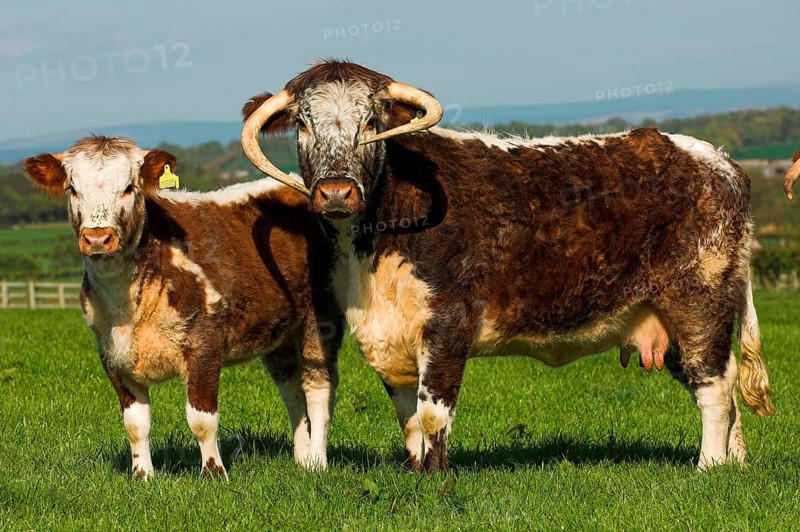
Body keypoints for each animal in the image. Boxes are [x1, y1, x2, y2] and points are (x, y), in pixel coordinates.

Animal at [24, 136, 342, 479]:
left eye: (129, 188)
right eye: (72, 188)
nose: (98, 238)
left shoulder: (204, 343)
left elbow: (201, 419)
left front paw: (214, 473)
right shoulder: (111, 353)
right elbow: (135, 424)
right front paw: (143, 476)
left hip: (321, 317)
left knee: (318, 387)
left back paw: (318, 462)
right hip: (277, 333)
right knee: (292, 390)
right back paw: (301, 458)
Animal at [239, 60, 775, 473]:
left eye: (372, 122)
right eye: (304, 124)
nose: (336, 192)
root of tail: (720, 162)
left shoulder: (448, 323)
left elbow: (433, 414)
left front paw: (434, 478)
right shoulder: (387, 333)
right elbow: (408, 417)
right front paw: (413, 471)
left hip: (698, 302)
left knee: (714, 386)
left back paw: (708, 466)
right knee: (726, 385)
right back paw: (735, 463)